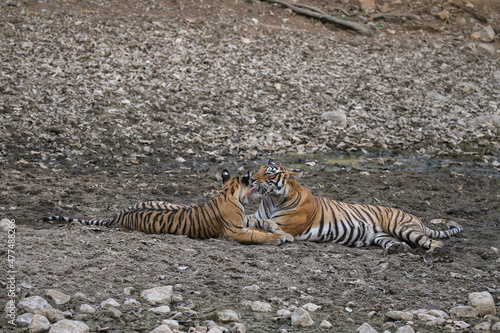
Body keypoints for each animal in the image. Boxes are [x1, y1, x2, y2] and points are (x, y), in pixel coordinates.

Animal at [44, 170, 292, 245]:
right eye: (252, 181)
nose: (257, 183)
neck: (229, 192)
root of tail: (120, 213)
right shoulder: (234, 230)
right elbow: (256, 234)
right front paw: (277, 238)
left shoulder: (244, 220)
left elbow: (263, 222)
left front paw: (283, 232)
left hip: (165, 202)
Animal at [250, 160, 464, 260]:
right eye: (258, 170)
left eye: (270, 174)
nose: (251, 178)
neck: (271, 199)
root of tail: (415, 217)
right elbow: (253, 219)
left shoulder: (286, 225)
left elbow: (260, 226)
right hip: (381, 235)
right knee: (401, 244)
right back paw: (396, 249)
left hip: (402, 228)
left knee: (433, 241)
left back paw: (434, 253)